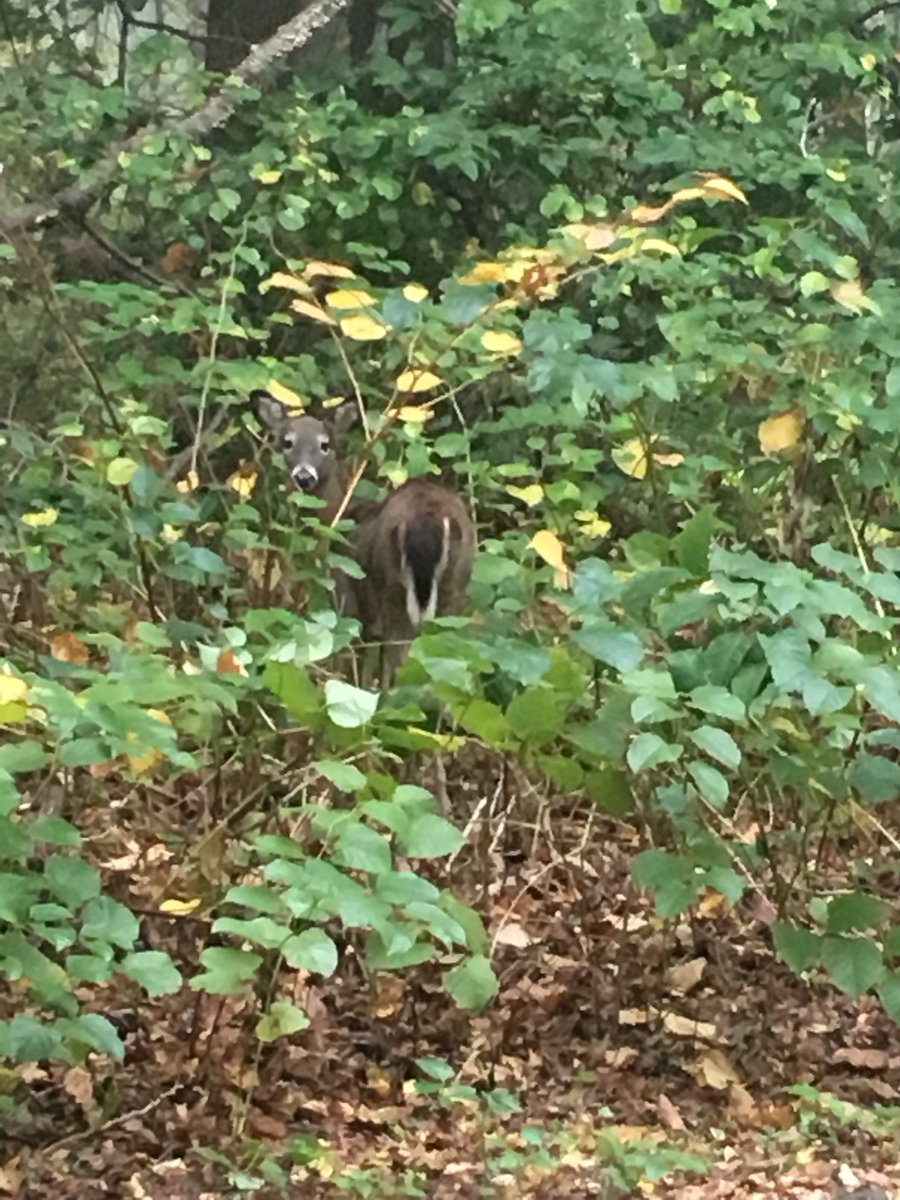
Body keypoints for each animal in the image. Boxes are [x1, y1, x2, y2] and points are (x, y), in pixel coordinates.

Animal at [252, 393, 475, 691]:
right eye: (287, 442)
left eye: (325, 445)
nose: (304, 477)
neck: (339, 517)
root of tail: (428, 520)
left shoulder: (347, 597)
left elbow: (353, 661)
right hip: (455, 588)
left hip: (393, 589)